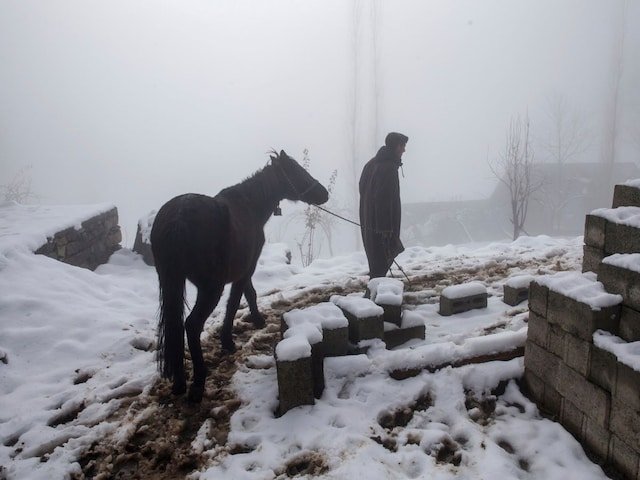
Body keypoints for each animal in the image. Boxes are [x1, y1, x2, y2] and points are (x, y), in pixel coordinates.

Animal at [150, 150, 329, 402]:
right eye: (296, 170)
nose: (324, 193)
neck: (250, 206)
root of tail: (178, 218)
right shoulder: (246, 270)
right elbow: (237, 301)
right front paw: (230, 340)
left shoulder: (244, 270)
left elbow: (248, 293)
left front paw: (255, 321)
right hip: (210, 288)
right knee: (192, 325)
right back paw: (198, 383)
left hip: (171, 282)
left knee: (175, 329)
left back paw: (179, 383)